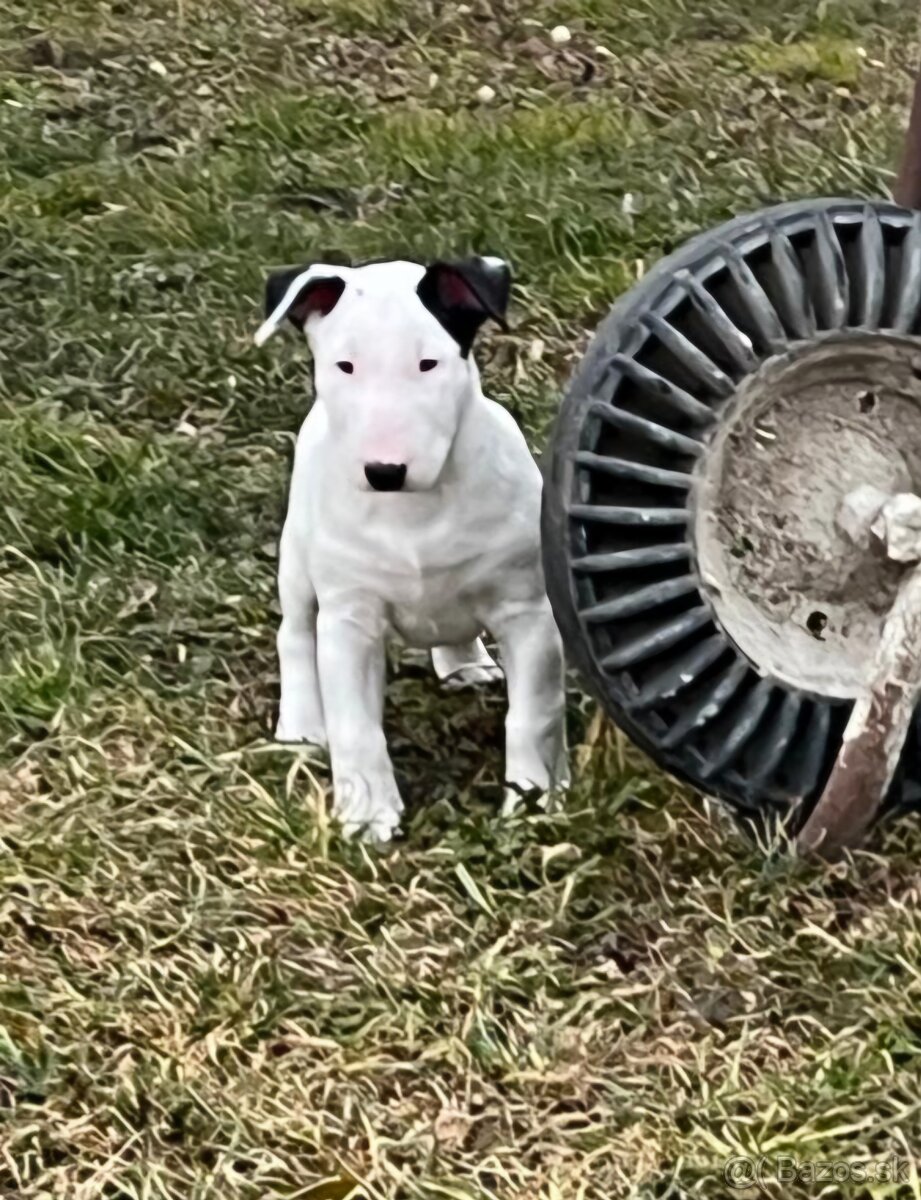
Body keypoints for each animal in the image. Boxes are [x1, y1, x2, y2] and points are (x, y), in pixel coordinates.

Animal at [254, 253, 568, 840]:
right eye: (345, 365)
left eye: (429, 363)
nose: (384, 471)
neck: (414, 510)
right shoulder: (349, 621)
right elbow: (355, 725)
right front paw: (367, 815)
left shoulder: (528, 613)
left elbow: (533, 713)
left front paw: (535, 801)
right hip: (297, 563)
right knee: (294, 635)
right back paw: (302, 727)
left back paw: (467, 665)